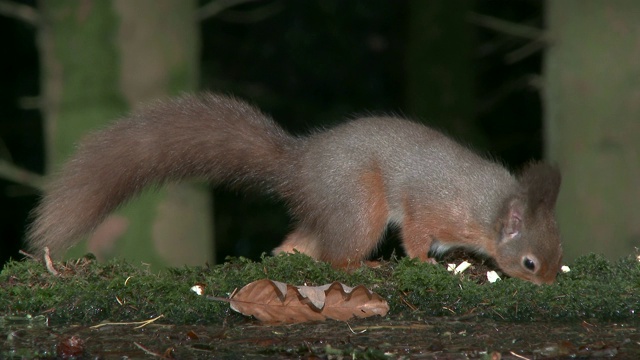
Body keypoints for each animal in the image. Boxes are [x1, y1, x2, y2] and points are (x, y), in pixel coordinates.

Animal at [27, 93, 564, 284]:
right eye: (529, 262)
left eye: (559, 252)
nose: (548, 285)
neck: (490, 208)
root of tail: (298, 167)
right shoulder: (432, 207)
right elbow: (415, 234)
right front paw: (424, 262)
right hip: (359, 205)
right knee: (336, 256)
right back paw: (364, 264)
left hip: (330, 211)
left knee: (298, 244)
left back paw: (286, 257)